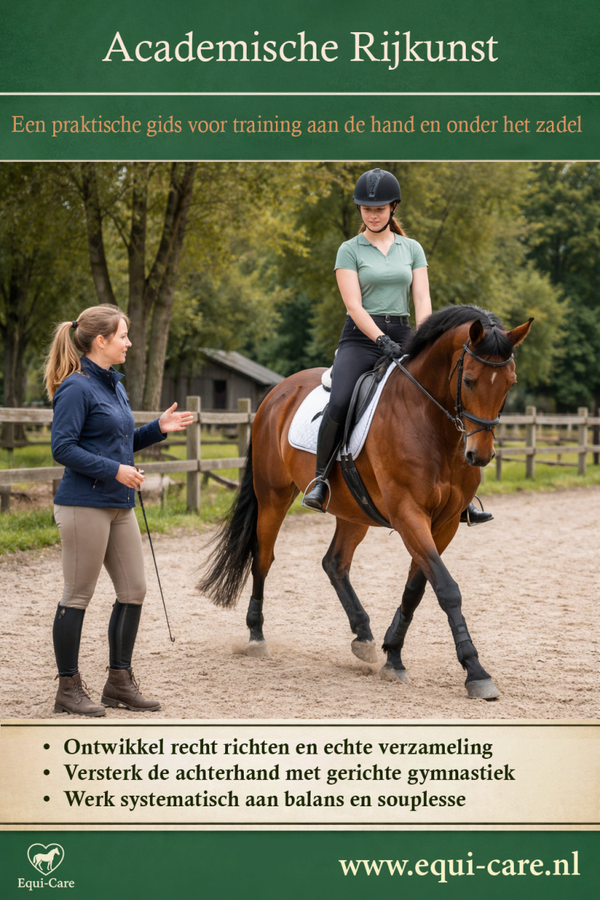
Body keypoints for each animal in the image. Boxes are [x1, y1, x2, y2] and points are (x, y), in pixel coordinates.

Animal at [198, 305, 532, 699]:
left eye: (509, 383)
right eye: (469, 381)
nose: (479, 455)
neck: (433, 425)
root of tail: (277, 392)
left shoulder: (445, 522)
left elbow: (417, 588)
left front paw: (393, 656)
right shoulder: (408, 514)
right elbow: (447, 589)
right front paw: (475, 670)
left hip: (353, 510)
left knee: (334, 563)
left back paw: (363, 636)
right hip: (273, 497)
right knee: (263, 558)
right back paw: (256, 636)